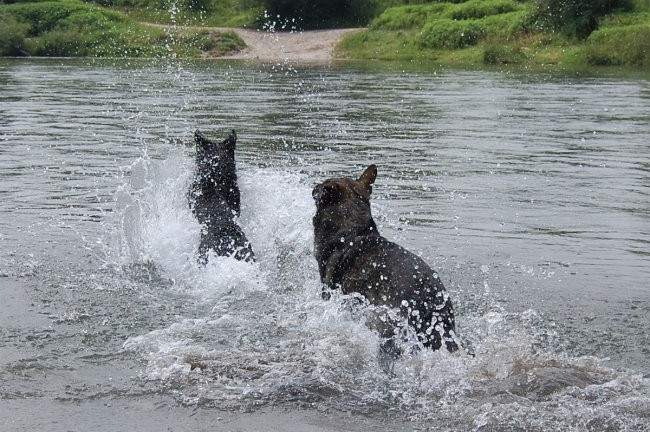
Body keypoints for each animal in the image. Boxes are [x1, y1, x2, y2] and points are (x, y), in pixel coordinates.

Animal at [312, 165, 456, 352]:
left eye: (321, 187)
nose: (314, 187)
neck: (352, 232)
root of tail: (427, 295)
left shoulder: (328, 288)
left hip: (381, 320)